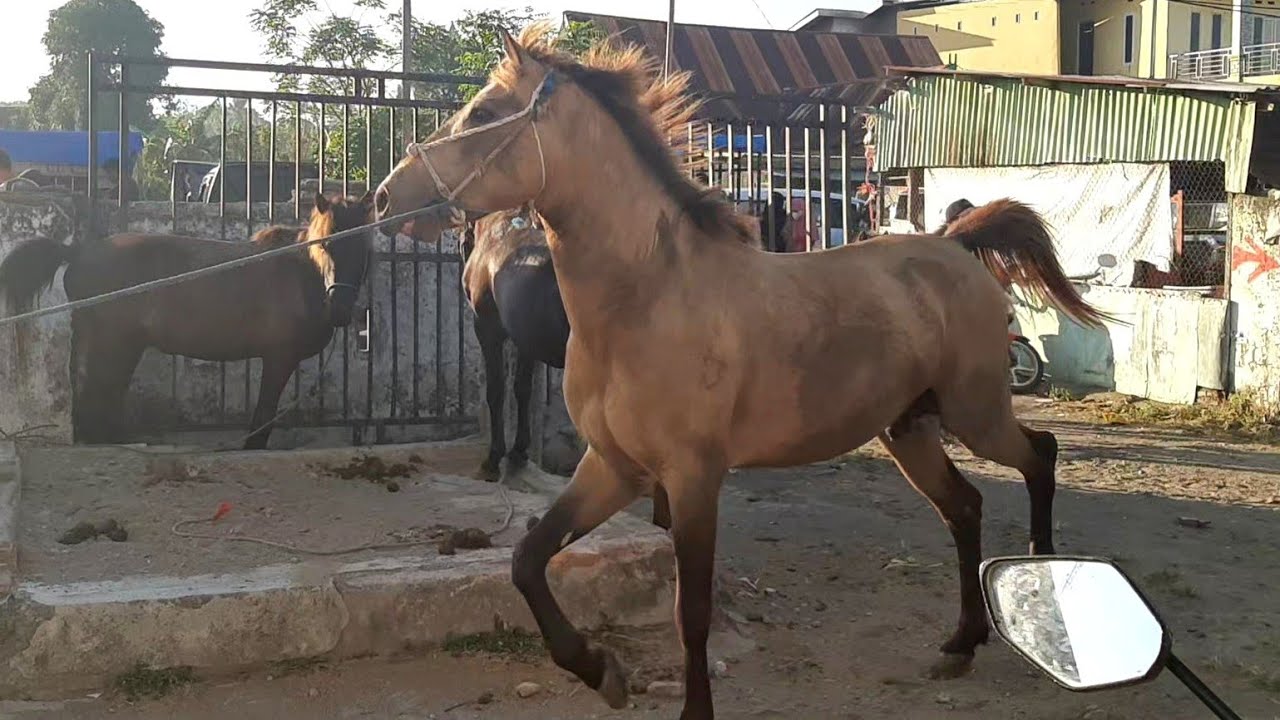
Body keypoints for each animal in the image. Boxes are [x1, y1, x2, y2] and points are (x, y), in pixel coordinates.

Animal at [0, 192, 374, 450]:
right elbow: (264, 414)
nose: (339, 308)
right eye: (326, 245)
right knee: (97, 390)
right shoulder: (278, 358)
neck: (298, 273)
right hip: (113, 343)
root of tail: (78, 251)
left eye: (362, 249)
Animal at [461, 206, 571, 481]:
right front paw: (519, 450)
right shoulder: (527, 340)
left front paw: (493, 458)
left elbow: (496, 390)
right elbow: (522, 388)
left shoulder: (487, 329)